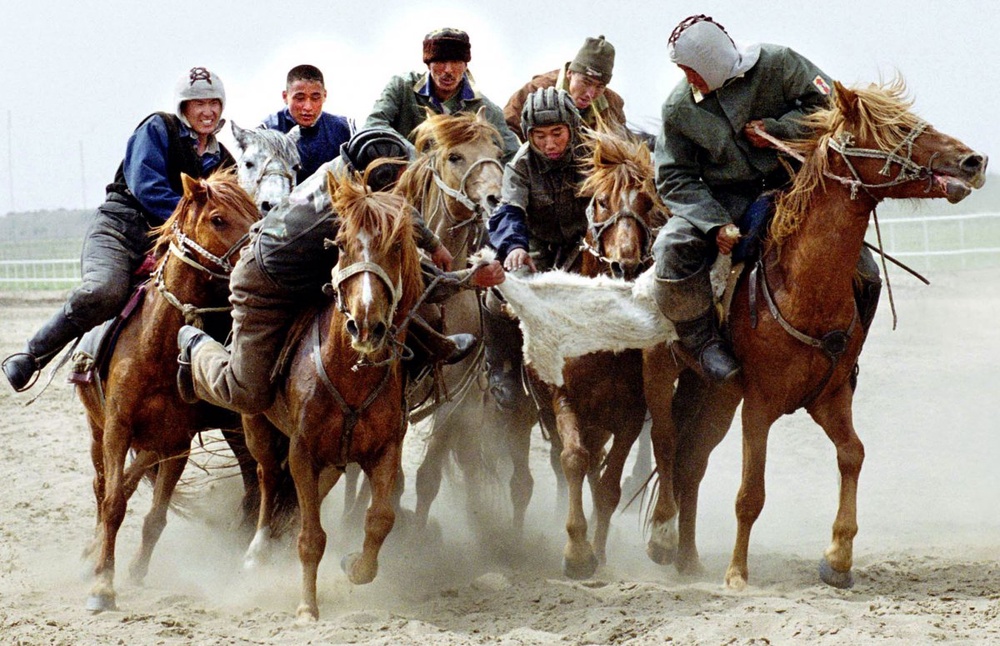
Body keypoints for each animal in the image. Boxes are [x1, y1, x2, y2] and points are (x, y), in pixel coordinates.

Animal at [77, 170, 262, 616]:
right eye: (217, 218)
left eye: (255, 212)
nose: (255, 258)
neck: (154, 346)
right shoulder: (117, 429)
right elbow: (113, 503)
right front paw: (103, 585)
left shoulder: (177, 443)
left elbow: (155, 517)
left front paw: (135, 570)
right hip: (96, 429)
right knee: (102, 486)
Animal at [240, 171, 424, 624]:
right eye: (340, 243)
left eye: (397, 246)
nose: (366, 325)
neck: (350, 374)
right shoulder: (302, 452)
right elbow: (312, 538)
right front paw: (307, 607)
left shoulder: (385, 450)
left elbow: (380, 518)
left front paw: (356, 566)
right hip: (257, 426)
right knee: (267, 477)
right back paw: (259, 548)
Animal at [724, 78, 988, 588]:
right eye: (898, 128)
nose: (974, 161)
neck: (803, 287)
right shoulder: (758, 403)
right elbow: (750, 492)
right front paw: (736, 574)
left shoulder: (831, 395)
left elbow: (853, 454)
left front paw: (839, 556)